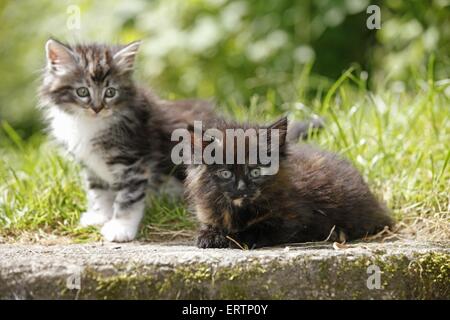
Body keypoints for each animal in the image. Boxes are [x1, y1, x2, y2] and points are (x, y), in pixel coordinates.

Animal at [38, 38, 216, 241]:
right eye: (82, 92)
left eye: (110, 92)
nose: (97, 108)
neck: (90, 124)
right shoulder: (92, 167)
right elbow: (99, 192)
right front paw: (100, 216)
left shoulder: (133, 161)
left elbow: (127, 198)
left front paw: (121, 228)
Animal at [186, 116, 394, 249]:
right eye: (226, 173)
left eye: (256, 171)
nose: (242, 189)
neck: (238, 211)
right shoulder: (208, 213)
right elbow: (209, 225)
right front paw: (209, 236)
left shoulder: (294, 218)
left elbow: (260, 228)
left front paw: (234, 238)